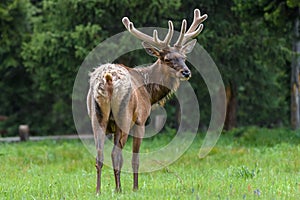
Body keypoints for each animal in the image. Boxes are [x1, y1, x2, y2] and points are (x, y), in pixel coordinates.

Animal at [86, 8, 207, 193]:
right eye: (167, 59)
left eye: (184, 58)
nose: (186, 72)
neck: (149, 94)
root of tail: (107, 79)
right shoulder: (141, 120)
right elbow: (135, 159)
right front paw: (135, 188)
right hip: (124, 117)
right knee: (116, 153)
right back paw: (119, 189)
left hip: (97, 117)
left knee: (99, 154)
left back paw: (99, 191)